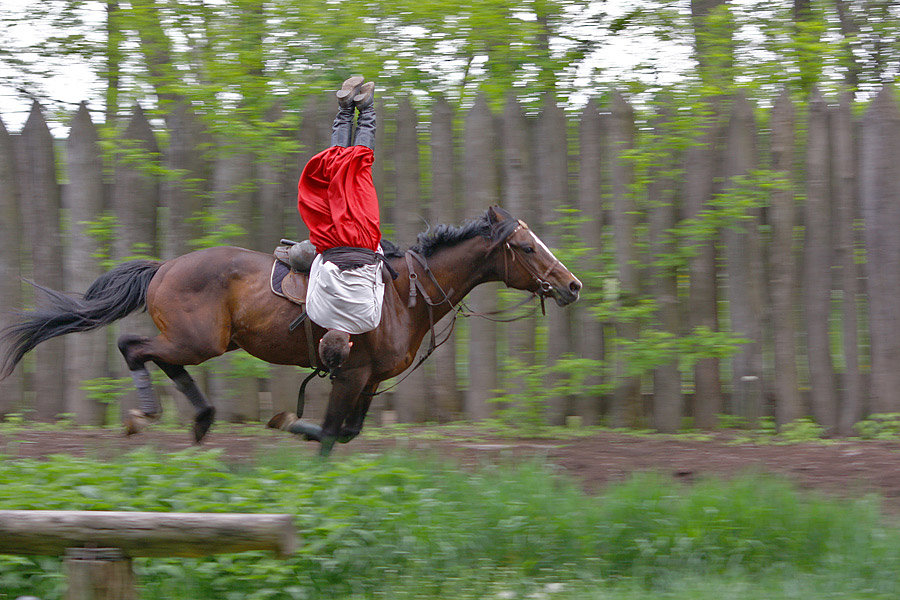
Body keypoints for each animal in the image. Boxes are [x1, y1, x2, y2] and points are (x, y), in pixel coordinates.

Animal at [0, 207, 580, 454]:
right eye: (525, 247)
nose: (571, 285)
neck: (401, 294)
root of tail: (164, 266)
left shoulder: (368, 381)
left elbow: (344, 432)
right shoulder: (351, 375)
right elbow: (327, 433)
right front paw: (290, 424)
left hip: (203, 343)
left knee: (158, 357)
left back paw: (202, 420)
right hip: (199, 340)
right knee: (134, 346)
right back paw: (146, 414)